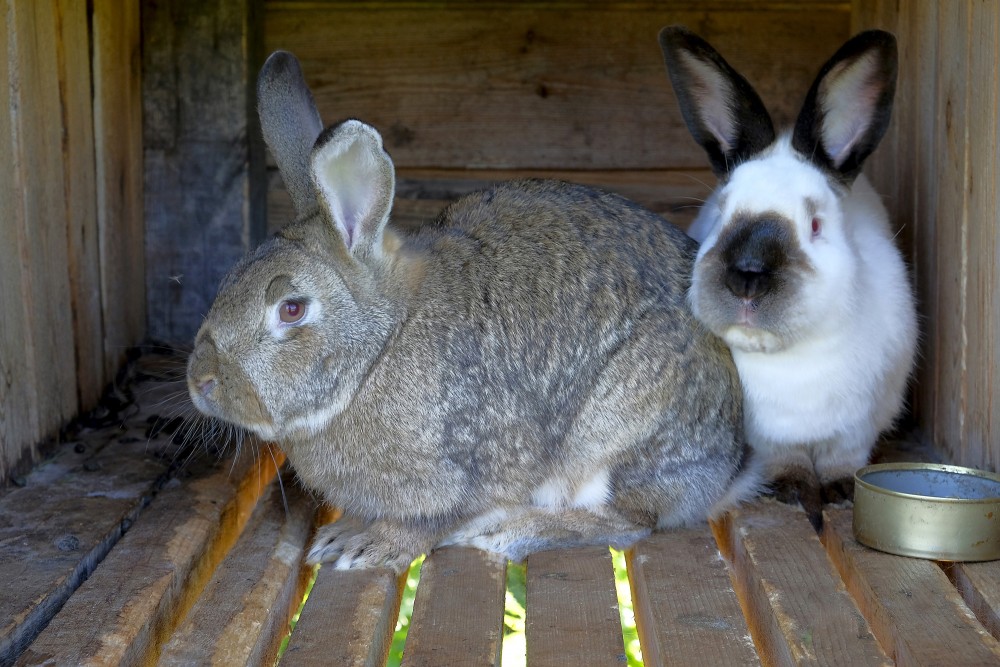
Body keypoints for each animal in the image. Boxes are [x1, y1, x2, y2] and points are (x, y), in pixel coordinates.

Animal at [186, 50, 762, 572]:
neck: (381, 346)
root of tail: (730, 466)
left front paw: (363, 546)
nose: (201, 382)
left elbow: (428, 522)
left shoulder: (467, 468)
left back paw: (512, 532)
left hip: (618, 432)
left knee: (631, 519)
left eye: (291, 309)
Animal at [658, 27, 918, 527]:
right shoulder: (766, 436)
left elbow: (843, 459)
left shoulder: (858, 425)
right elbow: (785, 460)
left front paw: (841, 490)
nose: (747, 277)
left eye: (815, 224)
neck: (792, 356)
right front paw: (795, 489)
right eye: (721, 213)